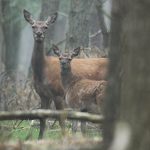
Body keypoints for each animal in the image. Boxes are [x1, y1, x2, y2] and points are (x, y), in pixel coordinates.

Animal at [23, 9, 108, 138]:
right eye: (33, 26)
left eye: (46, 27)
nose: (39, 34)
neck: (42, 71)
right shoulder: (43, 95)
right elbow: (42, 120)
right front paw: (40, 139)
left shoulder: (58, 94)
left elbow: (61, 120)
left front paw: (64, 138)